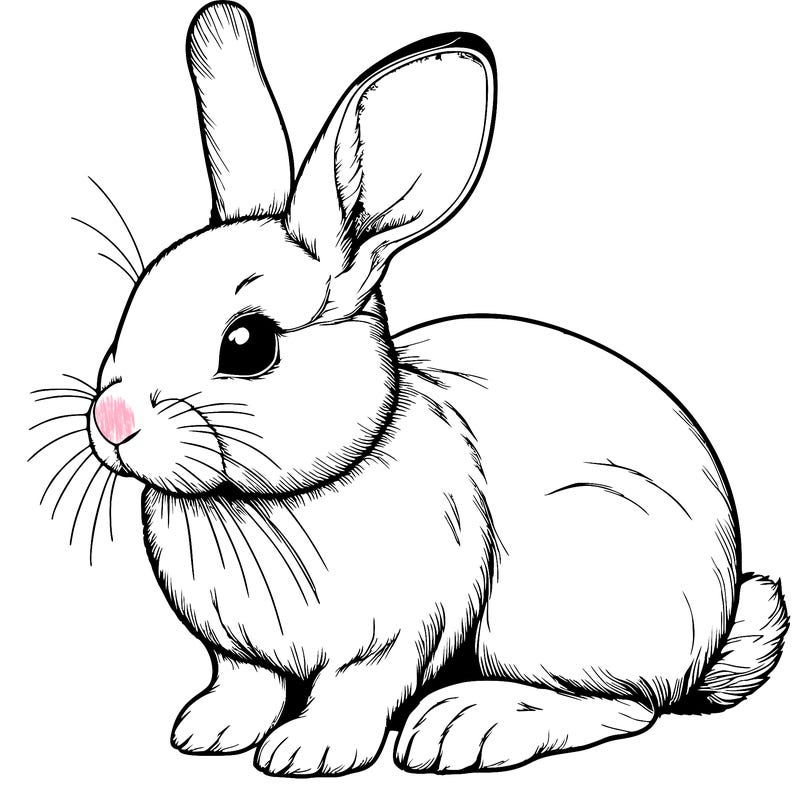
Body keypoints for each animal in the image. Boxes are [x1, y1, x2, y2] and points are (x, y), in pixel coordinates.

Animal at [71, 0, 788, 777]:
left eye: (249, 344)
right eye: (135, 304)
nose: (112, 420)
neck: (278, 499)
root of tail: (710, 640)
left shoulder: (401, 632)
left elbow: (358, 689)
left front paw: (308, 752)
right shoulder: (237, 652)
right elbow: (245, 682)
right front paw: (207, 731)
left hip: (561, 610)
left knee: (629, 705)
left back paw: (469, 725)